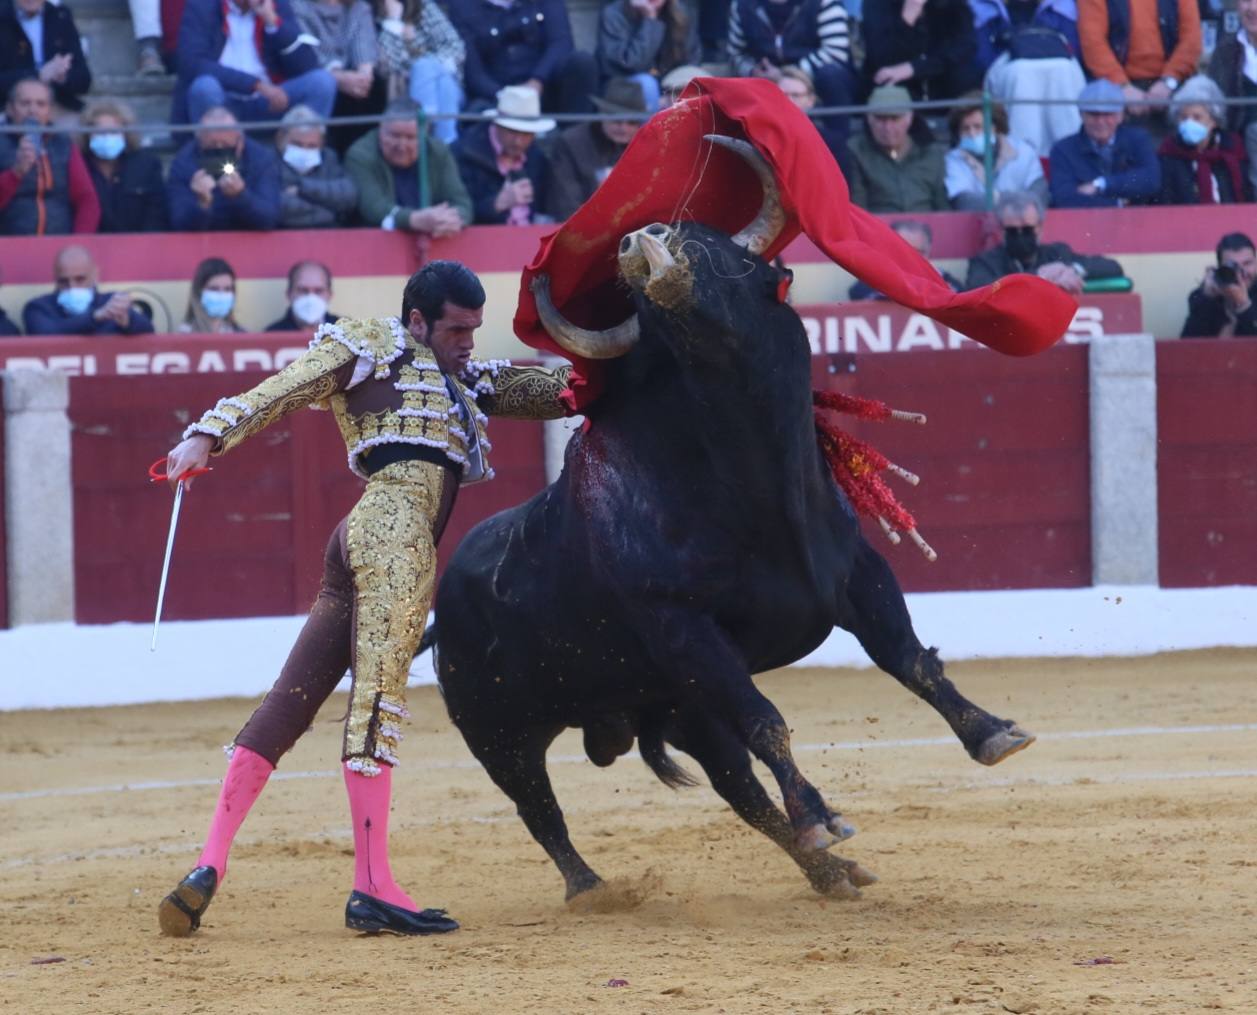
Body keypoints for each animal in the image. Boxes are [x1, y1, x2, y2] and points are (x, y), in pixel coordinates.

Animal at [432, 137, 1030, 905]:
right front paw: (821, 819)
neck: (756, 485)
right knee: (541, 809)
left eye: (721, 255)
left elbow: (908, 658)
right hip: (499, 732)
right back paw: (593, 888)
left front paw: (991, 732)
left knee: (737, 787)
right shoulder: (687, 633)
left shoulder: (858, 574)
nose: (639, 240)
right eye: (647, 316)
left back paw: (832, 873)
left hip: (675, 709)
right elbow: (767, 720)